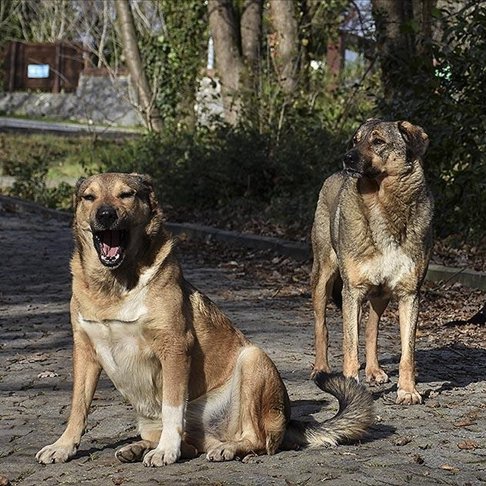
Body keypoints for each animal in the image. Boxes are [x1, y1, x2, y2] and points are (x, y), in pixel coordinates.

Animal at [36, 173, 374, 466]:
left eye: (126, 194)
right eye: (89, 197)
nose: (105, 215)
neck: (115, 286)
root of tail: (289, 419)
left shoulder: (174, 348)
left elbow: (173, 408)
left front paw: (166, 451)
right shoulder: (85, 351)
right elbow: (78, 407)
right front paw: (63, 446)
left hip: (253, 359)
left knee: (257, 440)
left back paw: (225, 448)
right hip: (149, 418)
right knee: (191, 444)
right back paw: (138, 447)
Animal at [312, 121, 432, 406]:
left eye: (378, 141)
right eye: (355, 140)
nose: (347, 158)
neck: (382, 204)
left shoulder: (409, 294)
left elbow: (407, 353)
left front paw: (407, 390)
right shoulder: (352, 291)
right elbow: (349, 346)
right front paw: (349, 387)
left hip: (380, 295)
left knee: (371, 328)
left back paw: (374, 370)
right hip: (324, 279)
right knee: (323, 326)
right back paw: (321, 368)